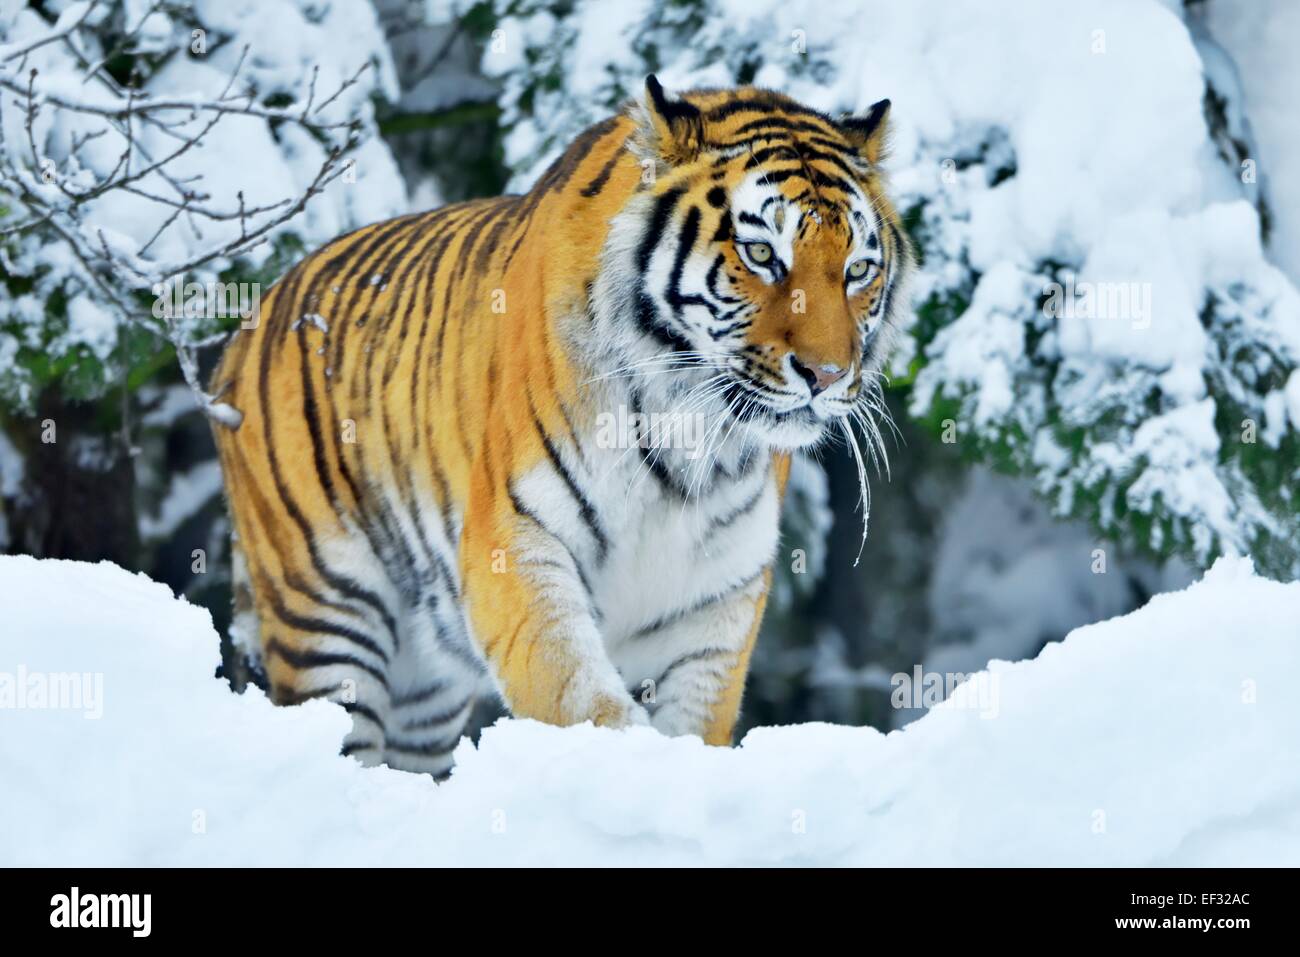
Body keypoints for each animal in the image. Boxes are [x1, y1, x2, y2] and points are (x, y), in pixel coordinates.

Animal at [208, 76, 909, 780]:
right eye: (761, 253)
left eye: (857, 270)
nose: (827, 375)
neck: (691, 439)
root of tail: (255, 313)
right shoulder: (515, 541)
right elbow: (574, 692)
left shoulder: (714, 598)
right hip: (326, 619)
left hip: (421, 691)